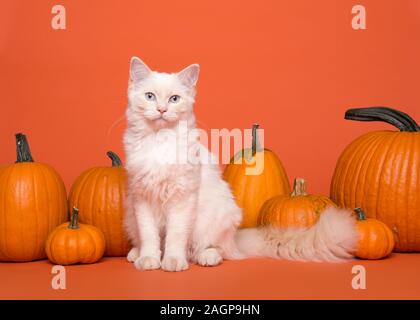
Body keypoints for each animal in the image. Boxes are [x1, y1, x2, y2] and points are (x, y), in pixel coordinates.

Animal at [122, 56, 358, 272]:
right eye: (150, 97)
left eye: (174, 99)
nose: (162, 109)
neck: (159, 141)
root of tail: (236, 239)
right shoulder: (142, 198)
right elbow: (149, 236)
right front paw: (149, 259)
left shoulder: (182, 198)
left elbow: (175, 236)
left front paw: (172, 261)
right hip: (130, 215)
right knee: (147, 240)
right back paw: (136, 254)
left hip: (212, 220)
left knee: (210, 249)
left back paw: (207, 258)